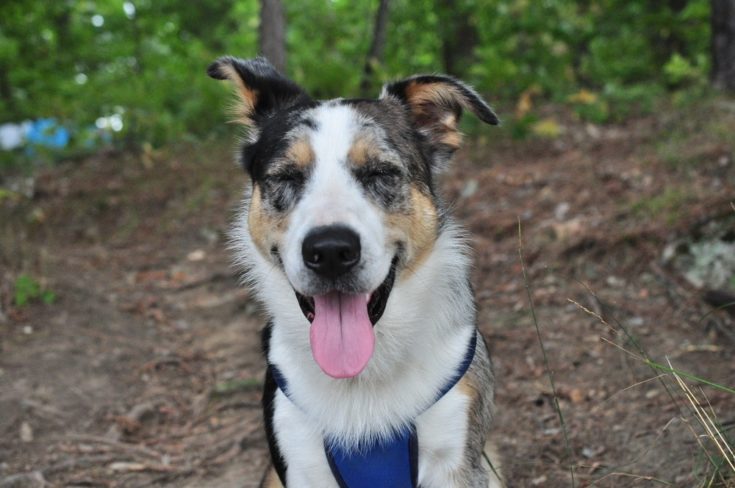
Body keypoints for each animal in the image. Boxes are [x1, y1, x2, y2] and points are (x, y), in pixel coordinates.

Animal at [210, 55, 504, 486]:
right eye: (286, 176)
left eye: (380, 172)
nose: (331, 251)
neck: (363, 377)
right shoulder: (300, 463)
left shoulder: (457, 461)